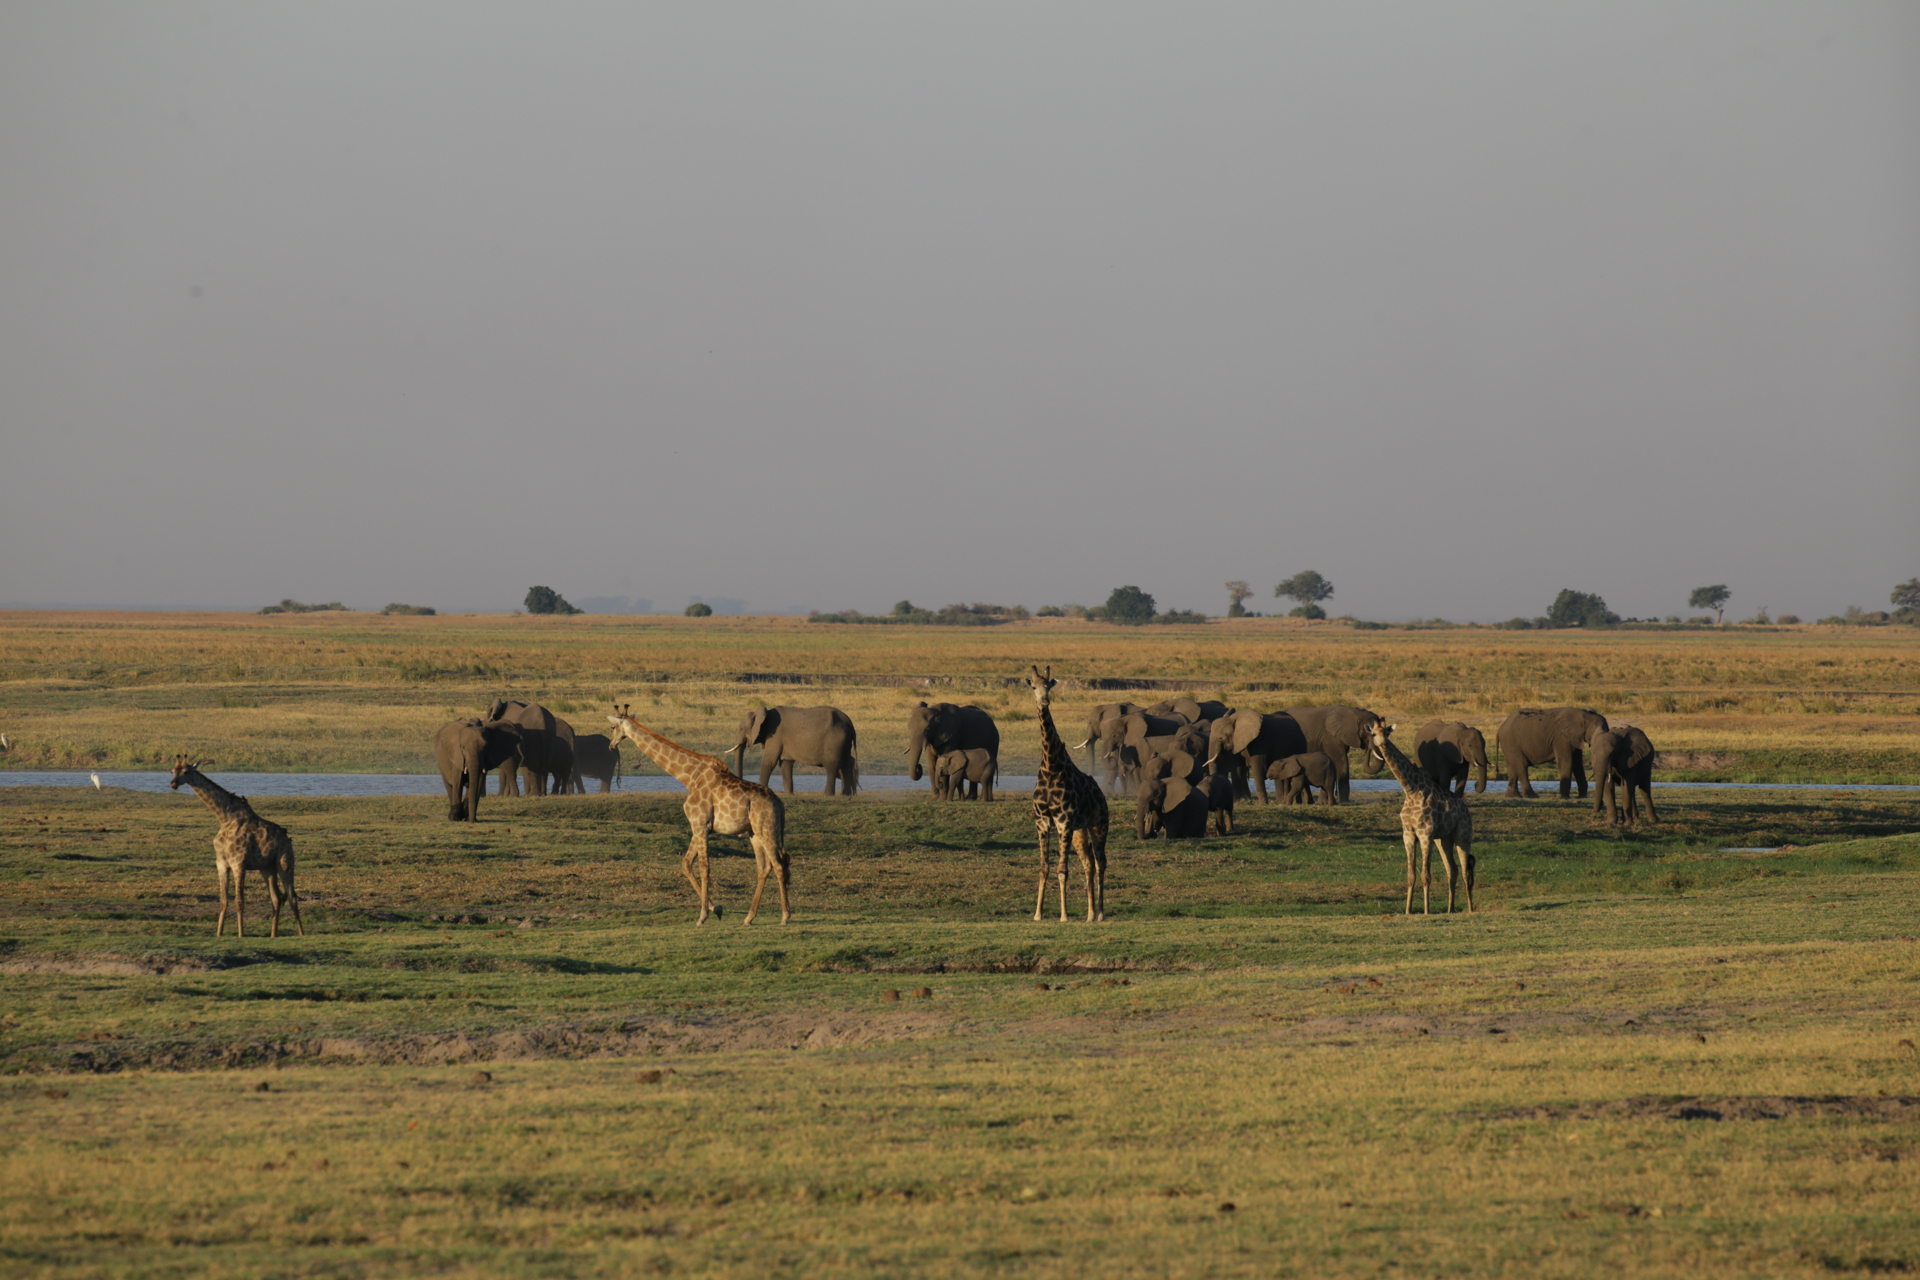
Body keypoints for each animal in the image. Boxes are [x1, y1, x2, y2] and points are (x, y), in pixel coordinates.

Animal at [168, 752, 301, 940]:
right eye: (173, 770)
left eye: (186, 772)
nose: (173, 784)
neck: (225, 819)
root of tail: (288, 839)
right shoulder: (222, 863)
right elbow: (223, 900)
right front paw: (219, 933)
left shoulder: (239, 863)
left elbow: (239, 901)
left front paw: (241, 934)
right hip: (267, 868)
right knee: (276, 898)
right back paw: (273, 935)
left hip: (285, 862)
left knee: (292, 896)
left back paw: (302, 934)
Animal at [595, 706, 783, 924]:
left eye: (612, 727)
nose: (610, 745)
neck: (690, 777)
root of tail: (779, 803)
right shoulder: (699, 826)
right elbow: (686, 864)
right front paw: (715, 908)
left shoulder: (700, 824)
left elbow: (704, 868)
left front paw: (703, 916)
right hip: (755, 833)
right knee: (766, 867)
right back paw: (750, 917)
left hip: (767, 830)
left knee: (778, 864)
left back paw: (785, 916)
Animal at [729, 706, 860, 794]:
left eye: (741, 728)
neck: (765, 713)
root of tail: (851, 725)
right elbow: (785, 764)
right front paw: (789, 794)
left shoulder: (775, 735)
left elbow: (769, 762)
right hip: (843, 741)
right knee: (846, 764)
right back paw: (845, 795)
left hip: (834, 740)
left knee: (831, 766)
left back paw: (828, 795)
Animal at [1021, 671, 1113, 921]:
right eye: (1033, 687)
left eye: (1048, 686)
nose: (1044, 701)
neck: (1051, 766)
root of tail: (1101, 795)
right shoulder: (1043, 821)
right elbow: (1044, 868)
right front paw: (1038, 915)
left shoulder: (1063, 822)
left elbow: (1062, 870)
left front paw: (1063, 916)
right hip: (1080, 830)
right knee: (1088, 863)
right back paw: (1089, 915)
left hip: (1099, 824)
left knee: (1101, 862)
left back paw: (1101, 914)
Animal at [1359, 725, 1474, 917]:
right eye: (1374, 734)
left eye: (1387, 733)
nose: (1383, 744)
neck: (1411, 790)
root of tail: (1466, 810)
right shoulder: (1408, 834)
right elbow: (1411, 875)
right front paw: (1408, 911)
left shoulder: (1425, 834)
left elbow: (1425, 876)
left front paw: (1426, 911)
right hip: (1443, 839)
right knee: (1452, 869)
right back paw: (1450, 909)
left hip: (1463, 835)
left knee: (1465, 871)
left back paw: (1471, 909)